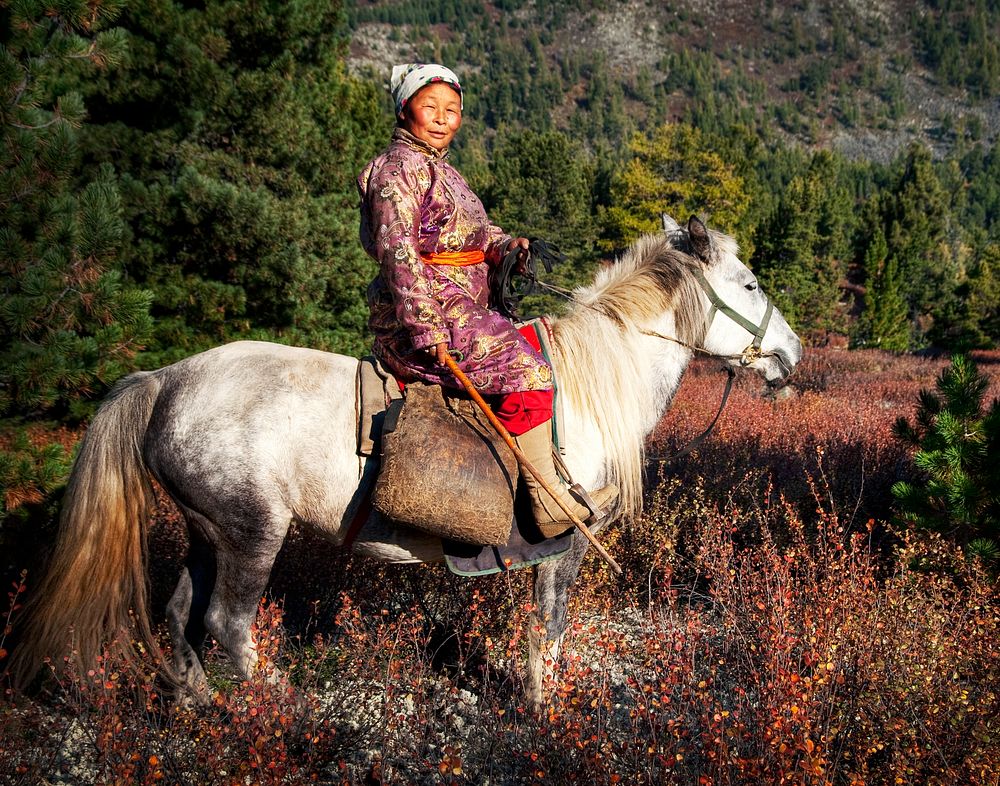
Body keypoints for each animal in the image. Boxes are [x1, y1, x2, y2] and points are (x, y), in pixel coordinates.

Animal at [9, 214, 804, 704]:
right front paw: (543, 706)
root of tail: (167, 380)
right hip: (250, 532)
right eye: (749, 283)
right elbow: (549, 628)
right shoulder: (566, 545)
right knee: (229, 625)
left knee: (180, 617)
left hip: (206, 533)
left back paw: (204, 708)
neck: (592, 385)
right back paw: (281, 710)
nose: (793, 354)